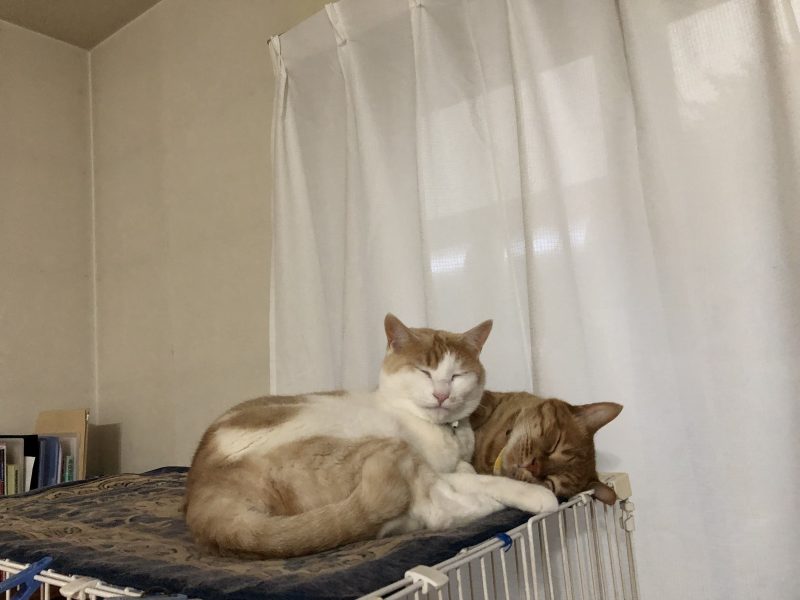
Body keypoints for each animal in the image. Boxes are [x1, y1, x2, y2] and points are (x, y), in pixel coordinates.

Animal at [184, 314, 558, 558]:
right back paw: (493, 505)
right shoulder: (435, 468)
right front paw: (532, 494)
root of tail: (202, 487)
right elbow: (479, 478)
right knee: (433, 511)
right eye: (424, 372)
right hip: (377, 451)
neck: (442, 431)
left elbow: (466, 469)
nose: (441, 394)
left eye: (457, 375)